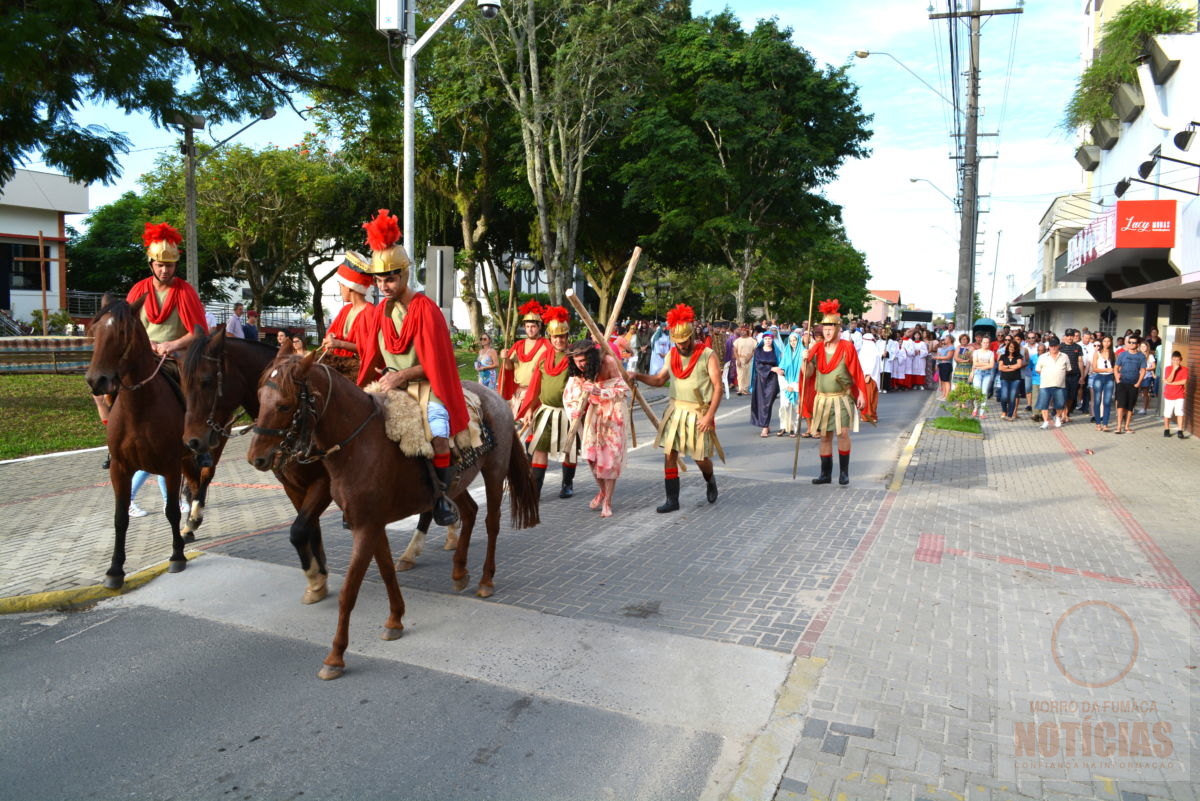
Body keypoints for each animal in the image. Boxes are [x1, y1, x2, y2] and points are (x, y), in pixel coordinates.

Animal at [84, 296, 220, 587]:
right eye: (95, 330)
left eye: (122, 332)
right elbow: (120, 518)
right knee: (193, 486)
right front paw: (115, 569)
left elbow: (171, 511)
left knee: (197, 484)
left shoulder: (169, 467)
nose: (96, 380)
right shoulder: (120, 469)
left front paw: (177, 556)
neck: (139, 406)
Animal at [178, 328, 458, 604]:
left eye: (206, 381)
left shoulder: (323, 484)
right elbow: (308, 529)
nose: (192, 441)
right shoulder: (292, 487)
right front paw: (319, 574)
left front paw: (315, 577)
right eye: (182, 383)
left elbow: (299, 529)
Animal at [248, 347, 540, 681]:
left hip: (494, 471)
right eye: (259, 399)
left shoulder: (366, 526)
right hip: (456, 484)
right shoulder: (371, 524)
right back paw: (458, 572)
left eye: (284, 404)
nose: (257, 458)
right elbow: (387, 571)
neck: (358, 444)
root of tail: (497, 398)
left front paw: (335, 656)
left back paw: (485, 580)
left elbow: (350, 590)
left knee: (492, 523)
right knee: (469, 512)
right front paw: (395, 620)